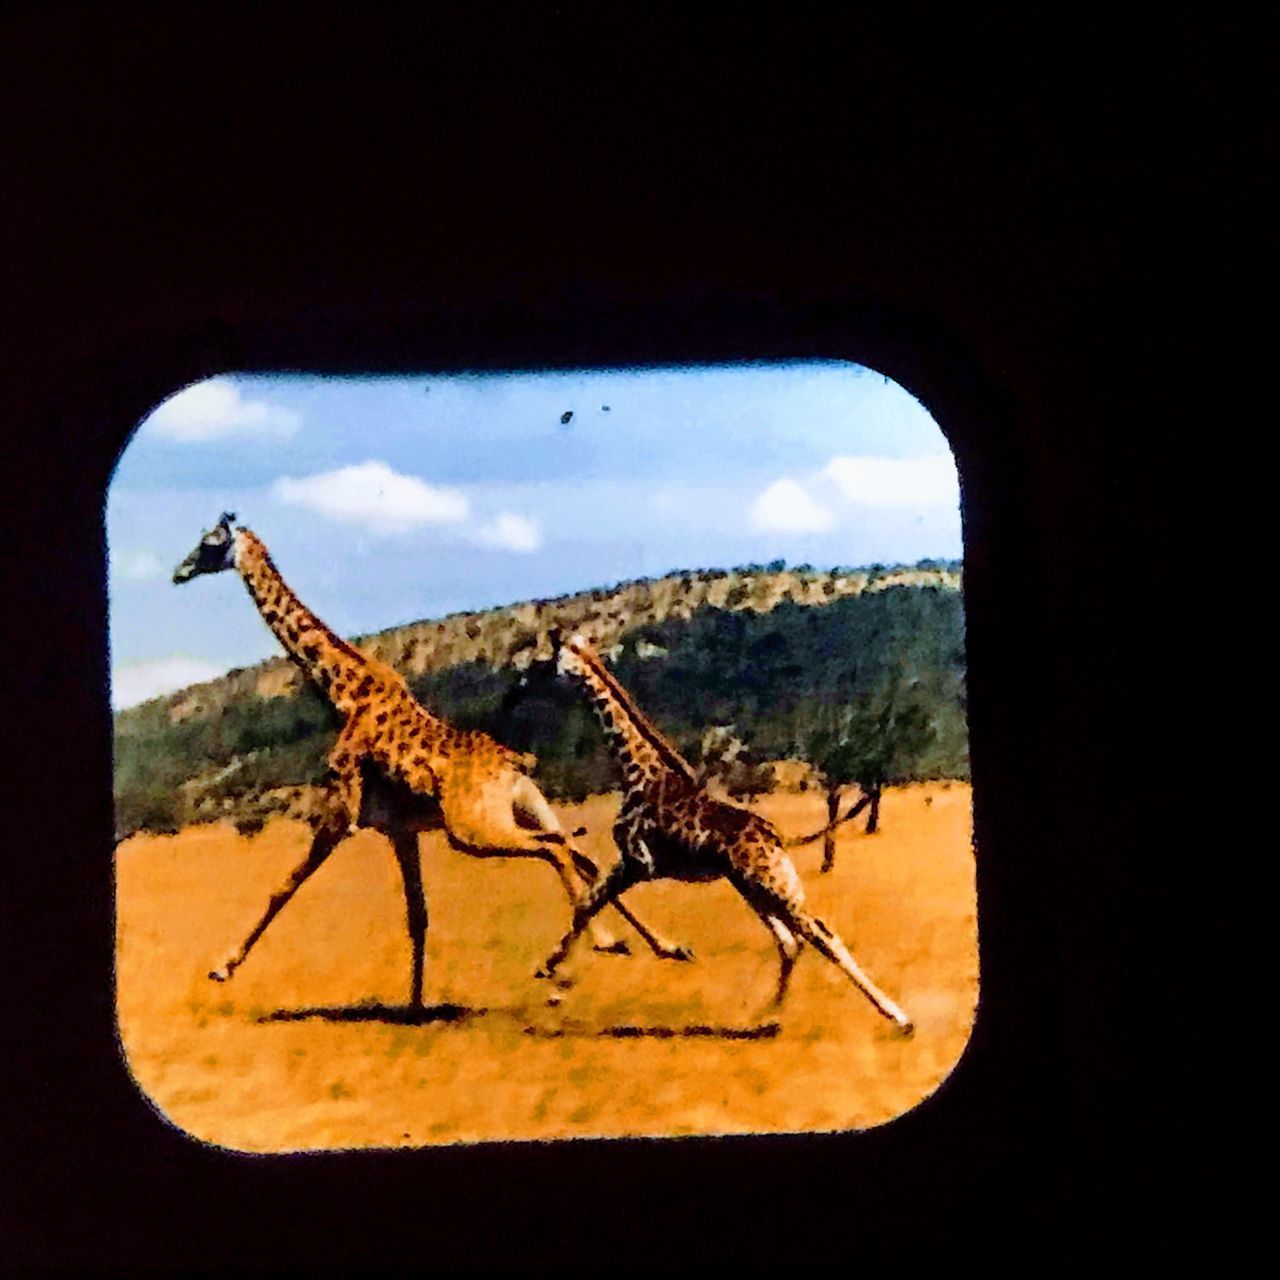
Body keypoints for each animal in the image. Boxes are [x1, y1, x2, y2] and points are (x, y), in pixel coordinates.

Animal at [172, 514, 691, 1003]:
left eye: (209, 543)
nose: (180, 572)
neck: (343, 692)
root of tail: (513, 762)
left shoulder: (344, 809)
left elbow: (284, 885)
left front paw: (222, 967)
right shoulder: (400, 829)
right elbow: (418, 915)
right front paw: (416, 1006)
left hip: (472, 829)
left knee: (556, 850)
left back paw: (603, 943)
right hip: (526, 805)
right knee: (583, 854)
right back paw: (661, 945)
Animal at [535, 627, 916, 1029]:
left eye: (558, 651)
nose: (547, 674)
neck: (636, 771)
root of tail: (777, 835)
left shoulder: (639, 861)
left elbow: (588, 905)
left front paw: (556, 978)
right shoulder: (633, 864)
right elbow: (587, 904)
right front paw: (554, 973)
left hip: (770, 884)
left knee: (821, 934)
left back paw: (899, 1018)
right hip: (755, 885)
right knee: (790, 942)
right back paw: (769, 1018)